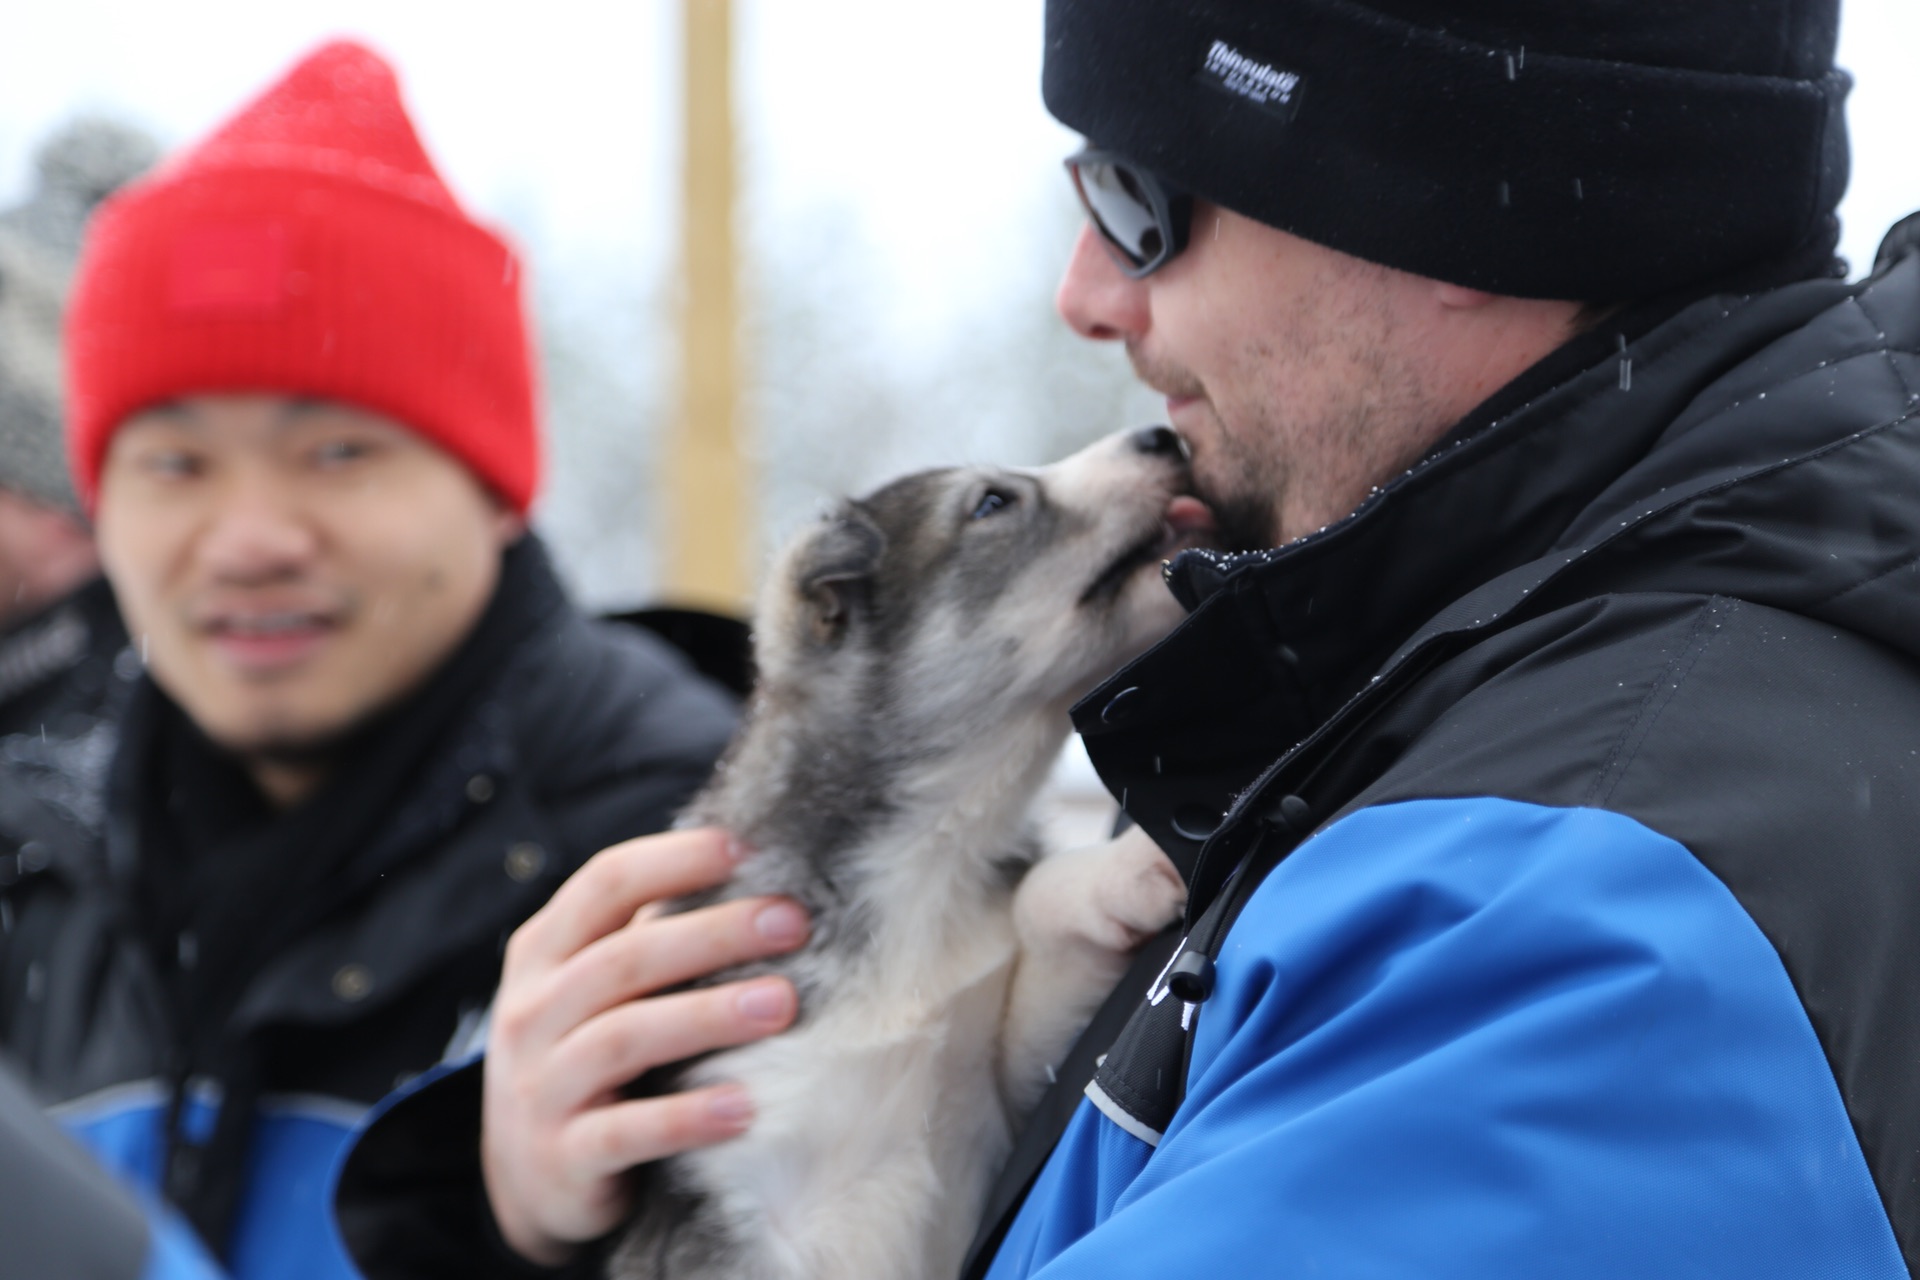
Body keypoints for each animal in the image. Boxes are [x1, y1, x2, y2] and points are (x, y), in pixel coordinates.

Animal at [610, 426, 1213, 1274]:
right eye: (992, 502)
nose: (1160, 435)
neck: (928, 864)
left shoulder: (1004, 1096)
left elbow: (1036, 912)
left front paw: (1120, 869)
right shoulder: (727, 1204)